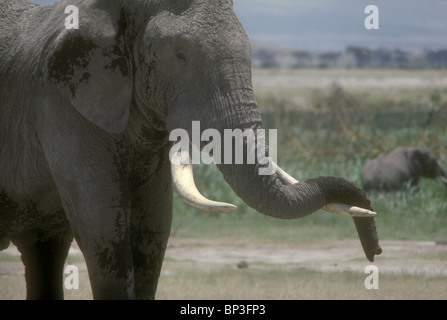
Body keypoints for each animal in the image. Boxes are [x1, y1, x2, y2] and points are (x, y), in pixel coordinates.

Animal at [0, 0, 382, 300]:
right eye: (179, 56)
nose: (375, 251)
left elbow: (153, 230)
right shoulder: (60, 106)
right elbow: (104, 227)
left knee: (45, 252)